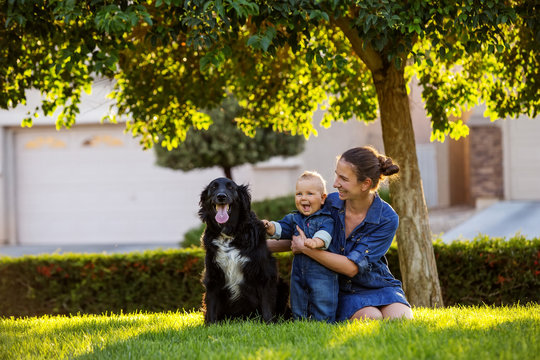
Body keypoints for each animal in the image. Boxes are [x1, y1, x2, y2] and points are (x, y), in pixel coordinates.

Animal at [198, 177, 288, 324]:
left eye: (231, 187)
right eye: (213, 187)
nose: (221, 196)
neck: (229, 235)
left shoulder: (264, 274)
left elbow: (267, 305)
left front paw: (269, 324)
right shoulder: (213, 274)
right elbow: (211, 304)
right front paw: (210, 325)